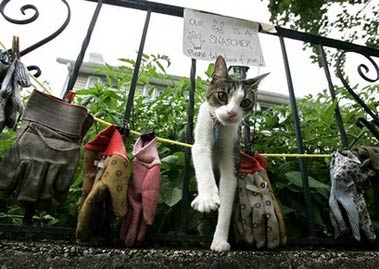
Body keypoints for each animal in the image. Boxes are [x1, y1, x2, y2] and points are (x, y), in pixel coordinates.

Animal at [191, 55, 268, 250]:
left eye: (245, 102)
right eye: (222, 96)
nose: (231, 112)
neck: (219, 127)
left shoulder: (232, 152)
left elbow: (227, 192)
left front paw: (219, 241)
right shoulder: (201, 140)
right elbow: (204, 167)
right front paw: (207, 199)